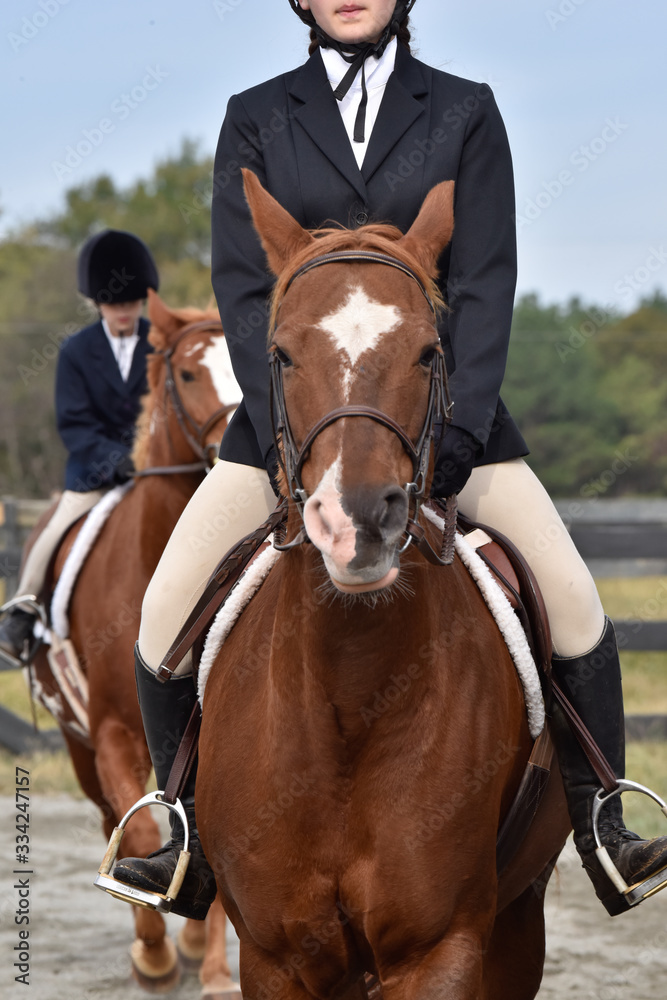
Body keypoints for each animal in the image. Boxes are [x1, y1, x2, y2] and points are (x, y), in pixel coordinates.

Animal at [29, 291, 241, 996]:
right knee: (108, 813)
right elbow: (143, 822)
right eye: (188, 373)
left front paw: (211, 964)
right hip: (78, 743)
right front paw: (156, 955)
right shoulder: (112, 732)